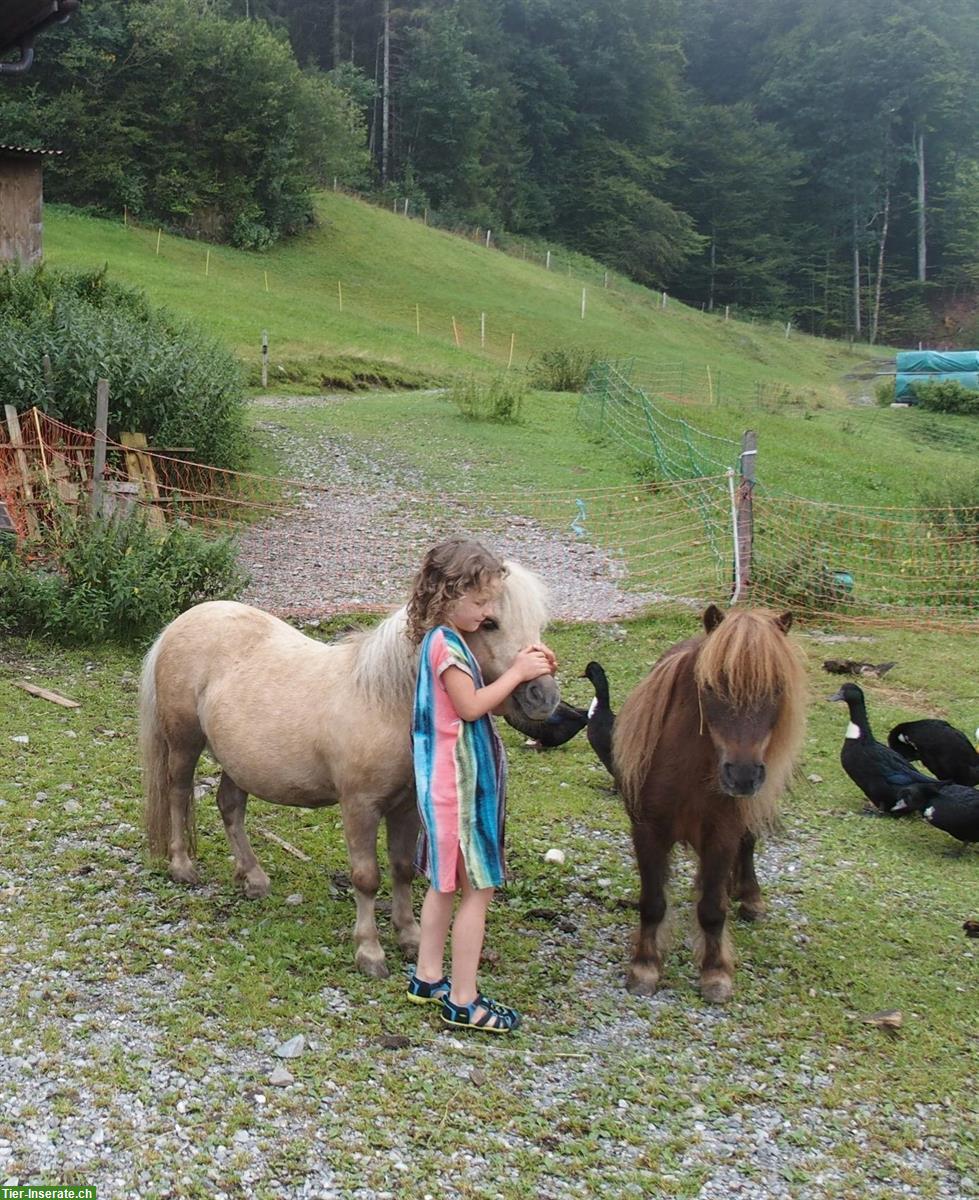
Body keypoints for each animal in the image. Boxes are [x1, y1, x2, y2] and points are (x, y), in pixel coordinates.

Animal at [141, 559, 561, 974]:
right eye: (488, 622)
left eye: (537, 624)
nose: (543, 696)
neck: (386, 699)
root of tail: (181, 623)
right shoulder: (360, 807)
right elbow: (366, 878)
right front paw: (370, 952)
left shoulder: (406, 807)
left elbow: (402, 868)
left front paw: (410, 936)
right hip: (184, 743)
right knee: (178, 793)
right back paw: (182, 866)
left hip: (239, 761)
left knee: (230, 807)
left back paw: (254, 878)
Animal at [614, 609, 806, 1003]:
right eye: (711, 686)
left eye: (777, 688)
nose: (743, 774)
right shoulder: (648, 832)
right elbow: (653, 902)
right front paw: (644, 967)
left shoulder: (722, 835)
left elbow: (713, 909)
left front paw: (715, 973)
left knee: (746, 847)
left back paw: (750, 898)